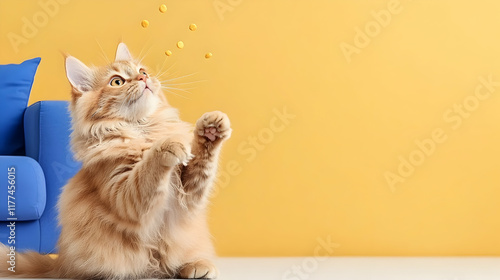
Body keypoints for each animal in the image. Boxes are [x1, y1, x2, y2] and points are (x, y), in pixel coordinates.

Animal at [0, 42, 231, 278]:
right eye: (117, 81)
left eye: (142, 71)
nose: (143, 78)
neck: (141, 129)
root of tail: (59, 264)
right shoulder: (124, 194)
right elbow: (148, 168)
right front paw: (167, 144)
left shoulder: (188, 193)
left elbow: (202, 162)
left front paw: (211, 129)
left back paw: (194, 266)